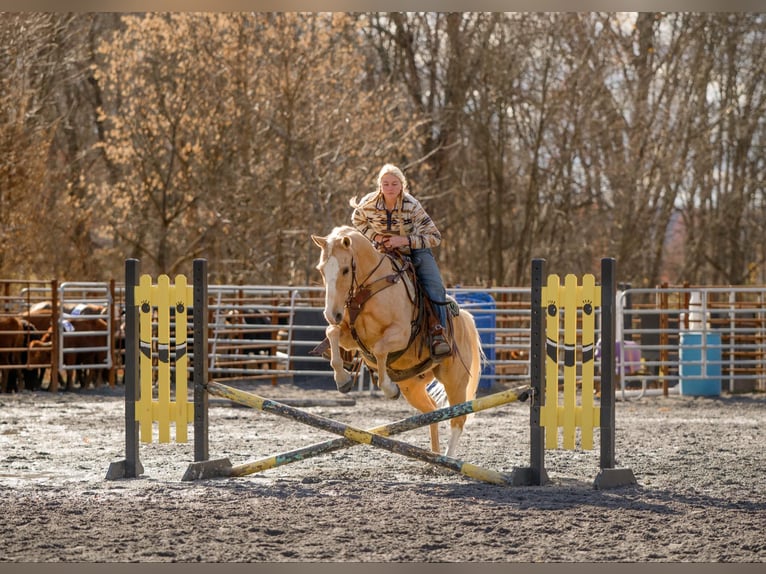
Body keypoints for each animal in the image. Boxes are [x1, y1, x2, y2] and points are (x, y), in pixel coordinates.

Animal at [314, 225, 484, 460]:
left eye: (346, 270)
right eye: (321, 270)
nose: (332, 314)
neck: (371, 288)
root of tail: (465, 318)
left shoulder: (401, 334)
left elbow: (379, 349)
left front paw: (388, 388)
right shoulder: (350, 337)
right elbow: (332, 332)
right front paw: (343, 379)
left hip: (455, 380)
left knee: (458, 419)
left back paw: (449, 459)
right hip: (412, 385)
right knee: (432, 411)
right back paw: (434, 457)